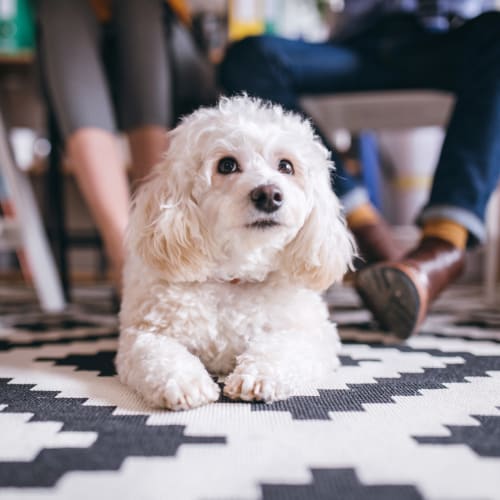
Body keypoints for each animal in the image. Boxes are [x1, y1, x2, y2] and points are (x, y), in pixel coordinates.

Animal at [116, 94, 356, 410]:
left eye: (286, 166)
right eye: (227, 165)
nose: (269, 194)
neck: (237, 276)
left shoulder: (314, 335)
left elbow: (283, 348)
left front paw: (258, 376)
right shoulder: (143, 335)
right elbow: (159, 355)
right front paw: (184, 383)